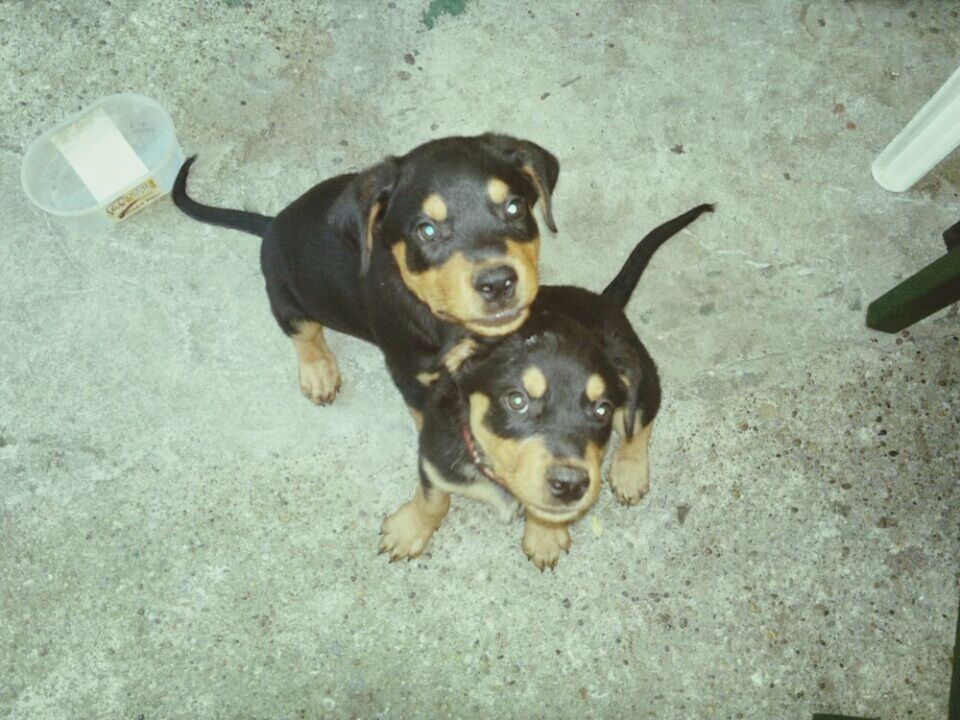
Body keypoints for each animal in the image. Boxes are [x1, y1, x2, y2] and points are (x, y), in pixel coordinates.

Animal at [172, 136, 560, 416]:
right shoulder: (412, 379)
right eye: (426, 231)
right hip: (285, 297)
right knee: (304, 333)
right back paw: (318, 373)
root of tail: (271, 225)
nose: (497, 284)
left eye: (515, 207)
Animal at [380, 202, 712, 568]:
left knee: (640, 422)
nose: (570, 486)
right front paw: (408, 530)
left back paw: (630, 471)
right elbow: (432, 499)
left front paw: (545, 536)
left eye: (602, 410)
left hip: (644, 379)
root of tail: (605, 301)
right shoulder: (433, 458)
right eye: (516, 401)